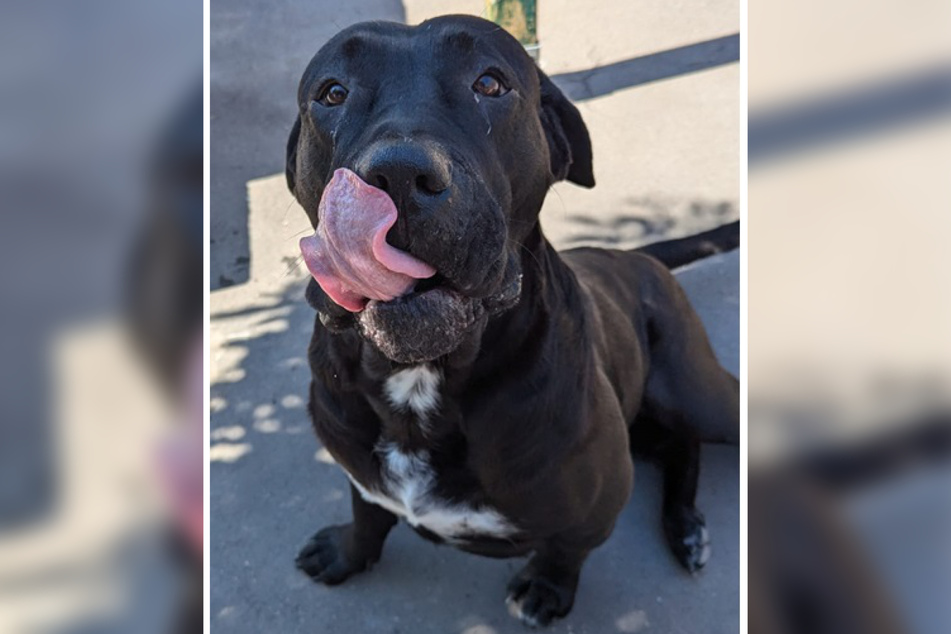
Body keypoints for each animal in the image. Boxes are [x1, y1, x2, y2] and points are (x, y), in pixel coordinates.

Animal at [286, 16, 740, 628]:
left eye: (490, 84)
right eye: (332, 93)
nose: (397, 173)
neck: (420, 380)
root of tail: (635, 255)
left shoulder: (599, 501)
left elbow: (567, 548)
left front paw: (547, 588)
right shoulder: (360, 468)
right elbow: (368, 513)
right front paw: (347, 551)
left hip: (697, 391)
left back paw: (689, 528)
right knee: (676, 444)